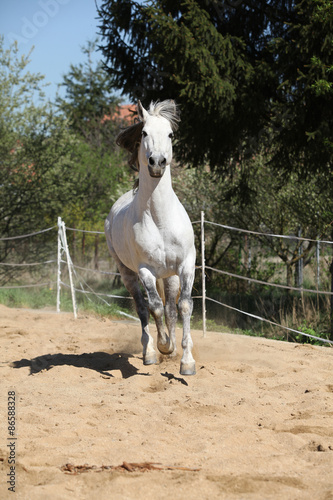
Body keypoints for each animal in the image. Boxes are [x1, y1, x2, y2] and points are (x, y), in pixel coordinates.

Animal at [105, 98, 196, 376]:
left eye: (170, 134)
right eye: (144, 133)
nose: (157, 162)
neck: (160, 220)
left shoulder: (186, 265)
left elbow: (183, 306)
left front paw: (186, 362)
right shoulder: (145, 270)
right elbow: (153, 307)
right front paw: (163, 345)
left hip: (170, 276)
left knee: (170, 309)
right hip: (127, 273)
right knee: (143, 308)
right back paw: (151, 353)